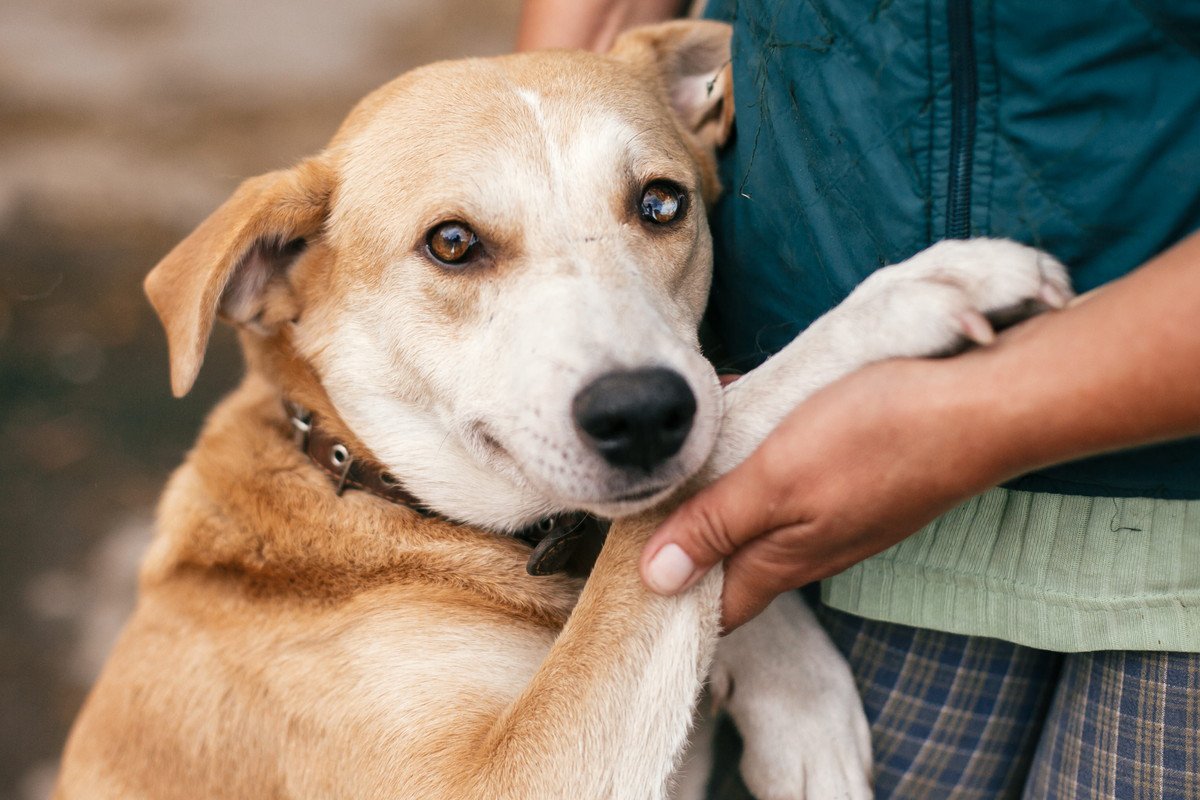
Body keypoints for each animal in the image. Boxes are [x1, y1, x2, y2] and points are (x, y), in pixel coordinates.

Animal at [54, 20, 1070, 800]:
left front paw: (796, 700)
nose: (643, 413)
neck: (365, 486)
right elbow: (690, 480)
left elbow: (657, 547)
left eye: (661, 203)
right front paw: (908, 296)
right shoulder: (502, 778)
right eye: (451, 243)